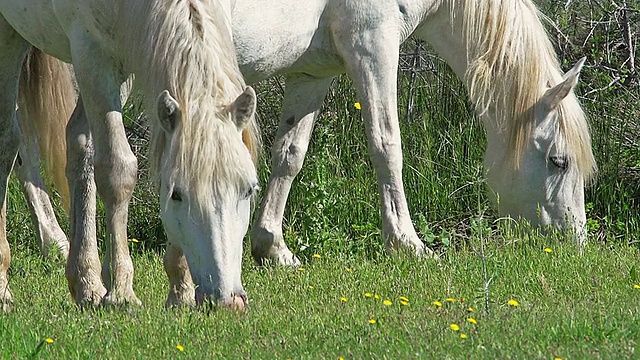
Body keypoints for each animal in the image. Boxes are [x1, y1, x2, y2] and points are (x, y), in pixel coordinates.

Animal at [0, 0, 260, 310]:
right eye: (177, 195)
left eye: (248, 190)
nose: (227, 301)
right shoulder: (92, 55)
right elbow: (117, 171)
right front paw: (121, 290)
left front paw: (179, 290)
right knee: (7, 141)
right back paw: (4, 286)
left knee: (76, 143)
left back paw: (84, 279)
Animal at [16, 0, 596, 272]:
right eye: (559, 161)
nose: (577, 239)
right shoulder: (372, 47)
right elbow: (387, 145)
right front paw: (407, 242)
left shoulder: (315, 71)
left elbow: (289, 155)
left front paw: (271, 246)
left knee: (67, 144)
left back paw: (69, 250)